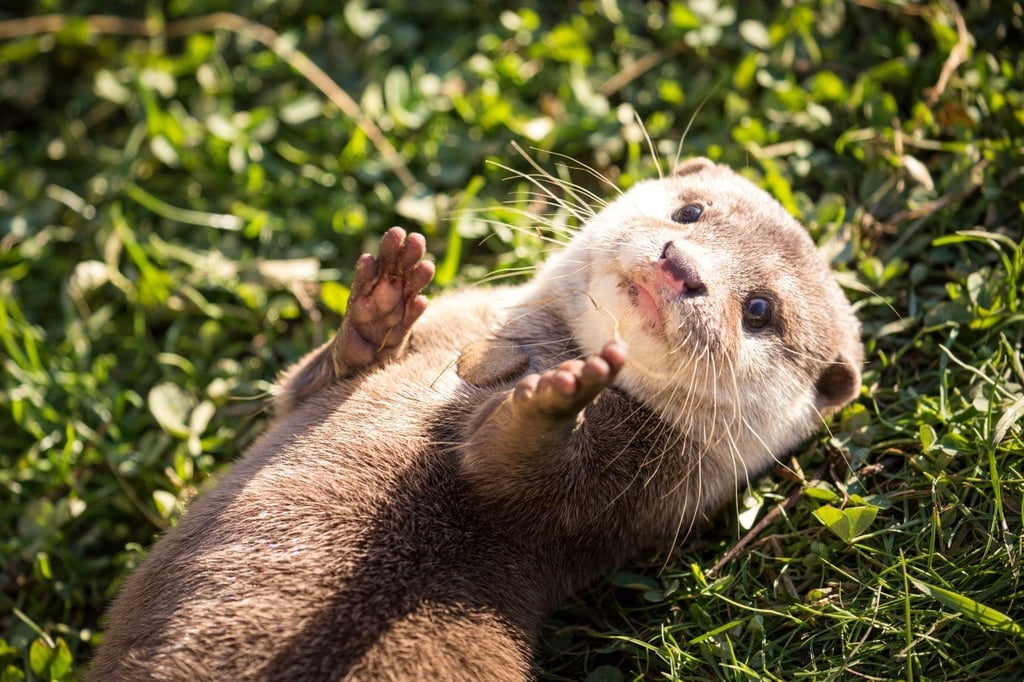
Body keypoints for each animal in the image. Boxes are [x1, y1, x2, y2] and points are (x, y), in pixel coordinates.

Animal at [87, 157, 862, 681]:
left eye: (759, 310)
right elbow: (301, 387)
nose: (680, 266)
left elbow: (511, 478)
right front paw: (381, 306)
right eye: (691, 213)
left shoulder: (632, 493)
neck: (514, 345)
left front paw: (560, 396)